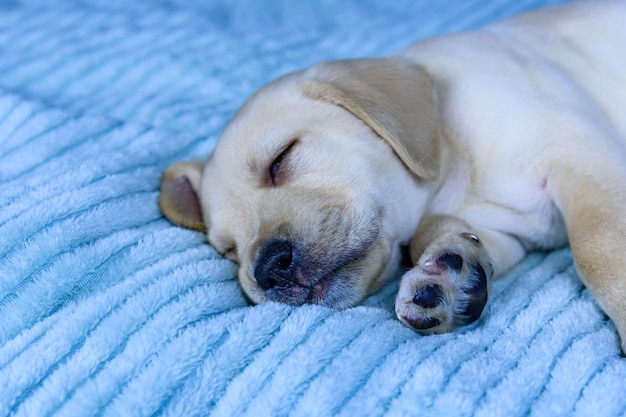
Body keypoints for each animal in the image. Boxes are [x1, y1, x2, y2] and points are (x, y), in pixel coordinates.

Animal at [157, 0, 624, 352]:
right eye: (228, 251)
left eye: (280, 159)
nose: (268, 271)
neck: (454, 170)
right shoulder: (506, 229)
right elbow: (439, 232)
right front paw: (449, 274)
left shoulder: (580, 153)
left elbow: (597, 250)